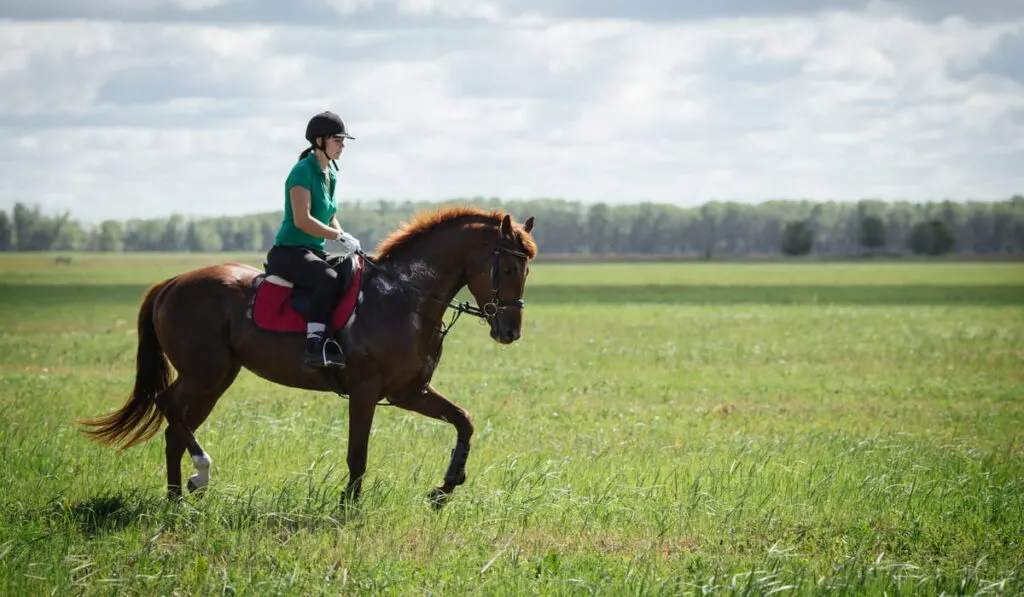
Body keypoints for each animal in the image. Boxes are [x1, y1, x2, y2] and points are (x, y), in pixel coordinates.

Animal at [76, 207, 540, 507]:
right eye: (508, 268)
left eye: (526, 270)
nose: (510, 332)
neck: (404, 296)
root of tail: (171, 282)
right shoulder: (366, 389)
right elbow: (358, 452)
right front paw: (349, 505)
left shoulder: (410, 391)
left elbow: (464, 420)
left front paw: (446, 487)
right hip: (204, 374)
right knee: (167, 406)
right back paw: (201, 471)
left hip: (216, 379)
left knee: (176, 429)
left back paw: (178, 498)